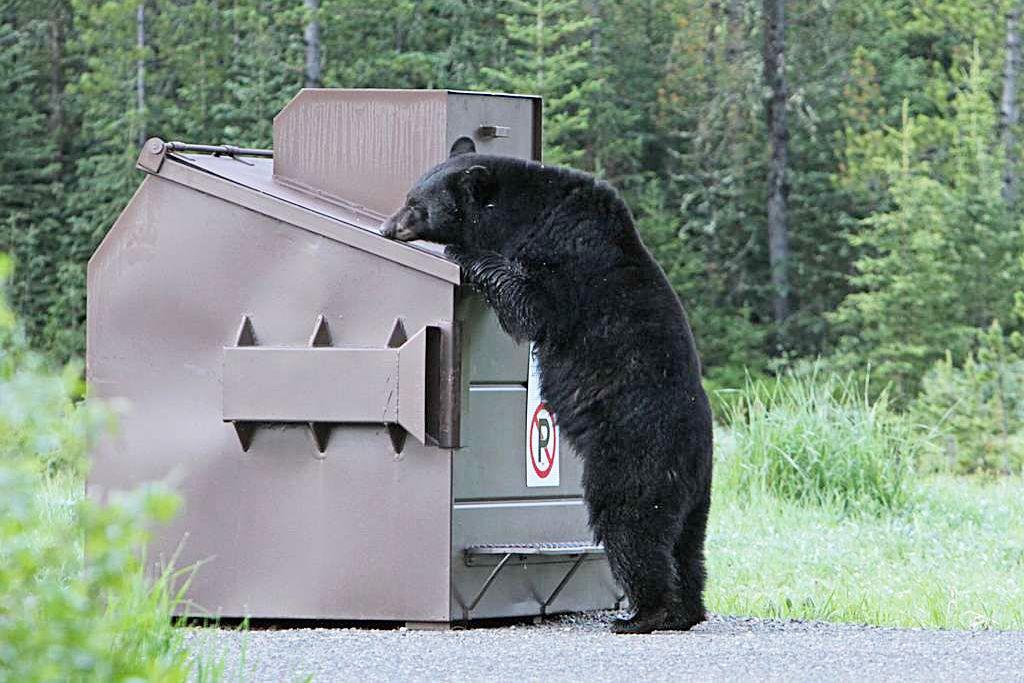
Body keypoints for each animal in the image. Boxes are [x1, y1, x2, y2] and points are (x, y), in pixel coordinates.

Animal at [382, 145, 713, 634]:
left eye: (415, 202)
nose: (388, 227)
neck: (529, 212)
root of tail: (693, 456)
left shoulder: (566, 257)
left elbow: (531, 307)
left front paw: (464, 251)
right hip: (694, 496)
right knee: (687, 546)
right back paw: (686, 610)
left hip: (635, 458)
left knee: (631, 525)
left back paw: (643, 614)